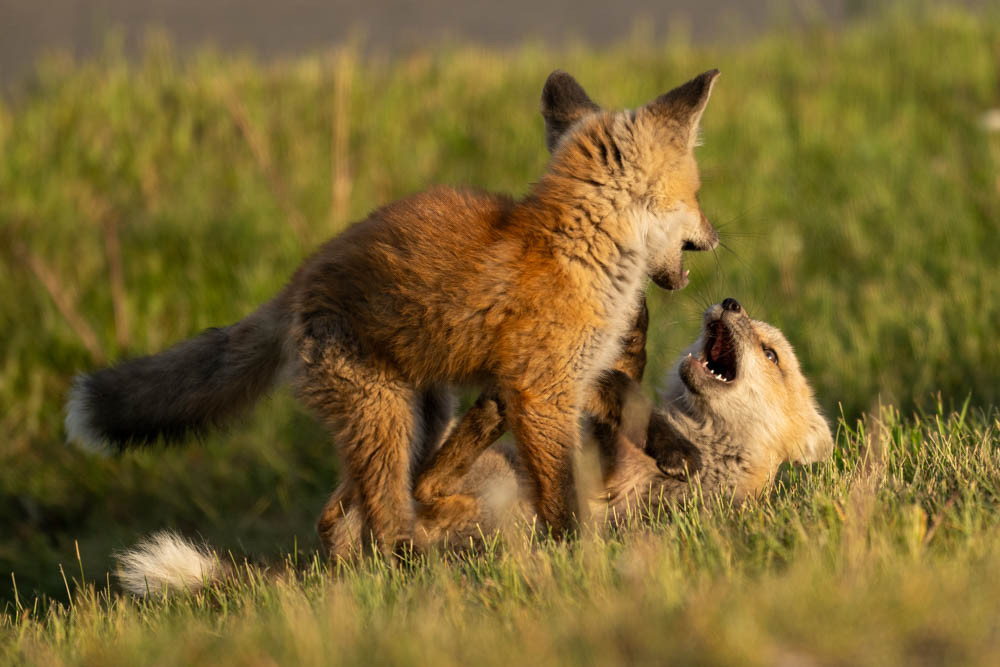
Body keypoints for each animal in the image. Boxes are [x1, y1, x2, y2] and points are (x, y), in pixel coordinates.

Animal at [66, 68, 722, 551]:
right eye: (697, 194)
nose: (717, 236)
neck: (577, 249)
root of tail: (302, 276)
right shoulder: (539, 392)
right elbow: (560, 489)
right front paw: (580, 556)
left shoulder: (568, 373)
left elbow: (631, 400)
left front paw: (677, 452)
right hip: (384, 420)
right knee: (379, 524)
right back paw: (412, 574)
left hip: (422, 416)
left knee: (343, 514)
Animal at [114, 298, 833, 595]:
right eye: (760, 337)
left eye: (771, 352)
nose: (728, 301)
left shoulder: (649, 507)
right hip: (481, 488)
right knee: (369, 497)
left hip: (495, 510)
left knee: (418, 498)